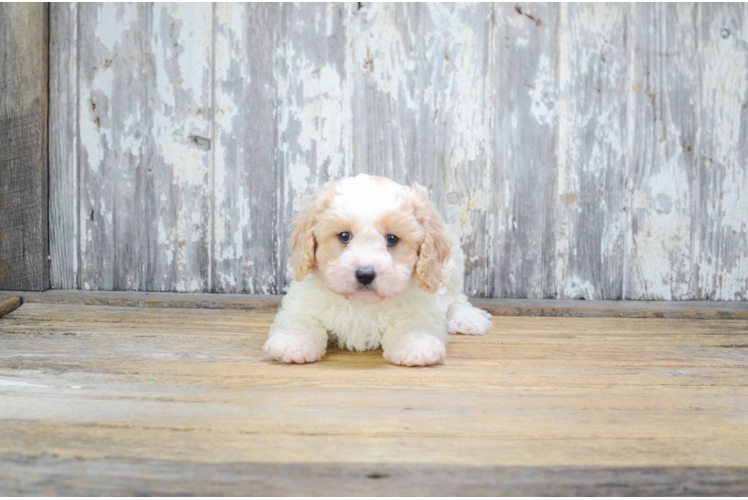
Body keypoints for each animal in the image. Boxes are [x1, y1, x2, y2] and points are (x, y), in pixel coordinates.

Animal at [262, 174, 490, 366]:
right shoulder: (302, 304)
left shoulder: (422, 306)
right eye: (344, 236)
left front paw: (417, 346)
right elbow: (300, 321)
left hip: (451, 269)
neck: (362, 304)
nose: (365, 274)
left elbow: (414, 324)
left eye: (392, 239)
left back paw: (467, 319)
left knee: (456, 298)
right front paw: (291, 344)